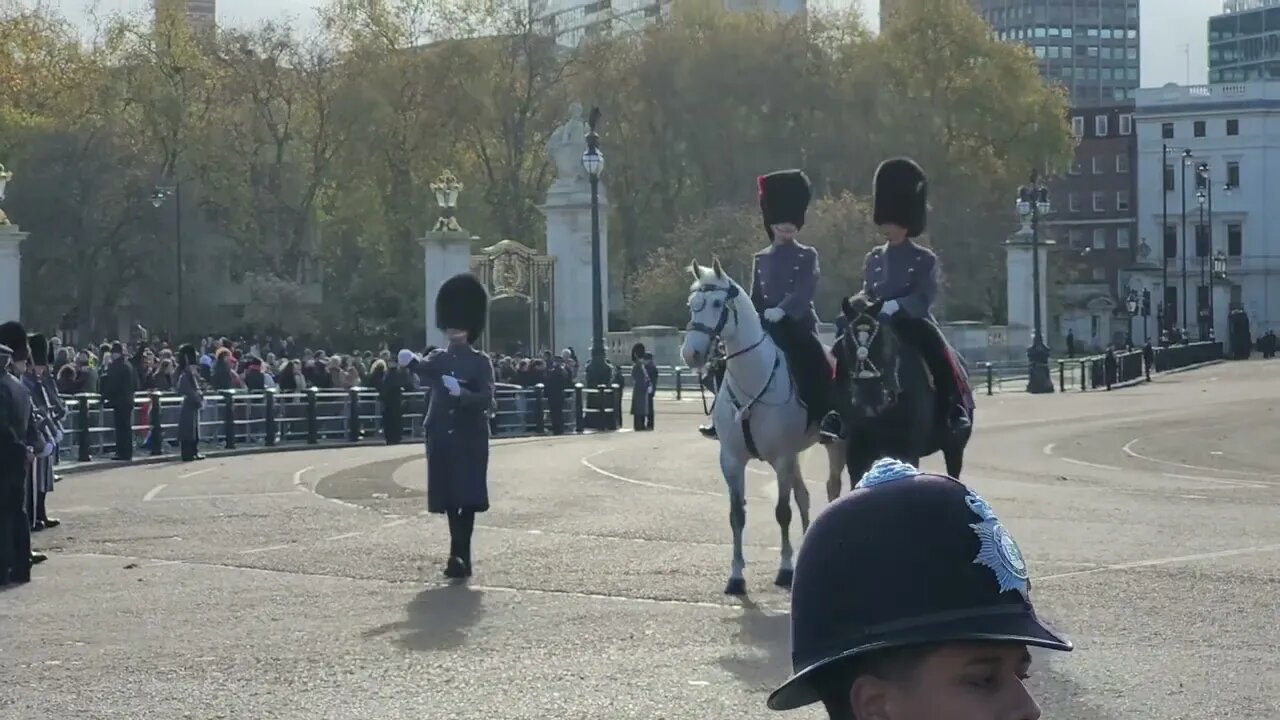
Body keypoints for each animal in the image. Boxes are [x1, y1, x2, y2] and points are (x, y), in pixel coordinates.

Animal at [675, 257, 844, 594]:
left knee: (833, 490)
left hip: (834, 445)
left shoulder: (781, 459)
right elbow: (737, 515)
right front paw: (736, 575)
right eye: (691, 304)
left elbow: (782, 512)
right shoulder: (731, 460)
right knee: (804, 496)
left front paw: (786, 569)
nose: (691, 354)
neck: (752, 379)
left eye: (717, 303)